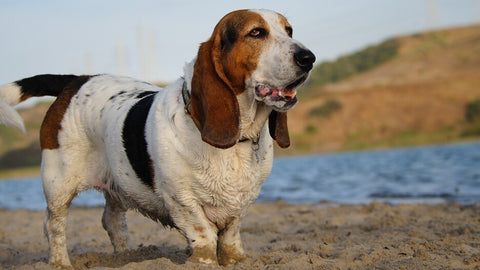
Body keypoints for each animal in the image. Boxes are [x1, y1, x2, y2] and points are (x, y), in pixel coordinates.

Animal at [0, 8, 316, 268]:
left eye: (289, 30)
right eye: (256, 33)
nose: (308, 58)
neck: (238, 140)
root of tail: (76, 80)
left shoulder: (244, 200)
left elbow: (230, 236)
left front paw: (235, 260)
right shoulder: (181, 199)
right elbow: (204, 236)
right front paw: (204, 262)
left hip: (118, 180)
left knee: (112, 220)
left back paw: (127, 256)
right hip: (58, 184)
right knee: (53, 225)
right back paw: (60, 262)